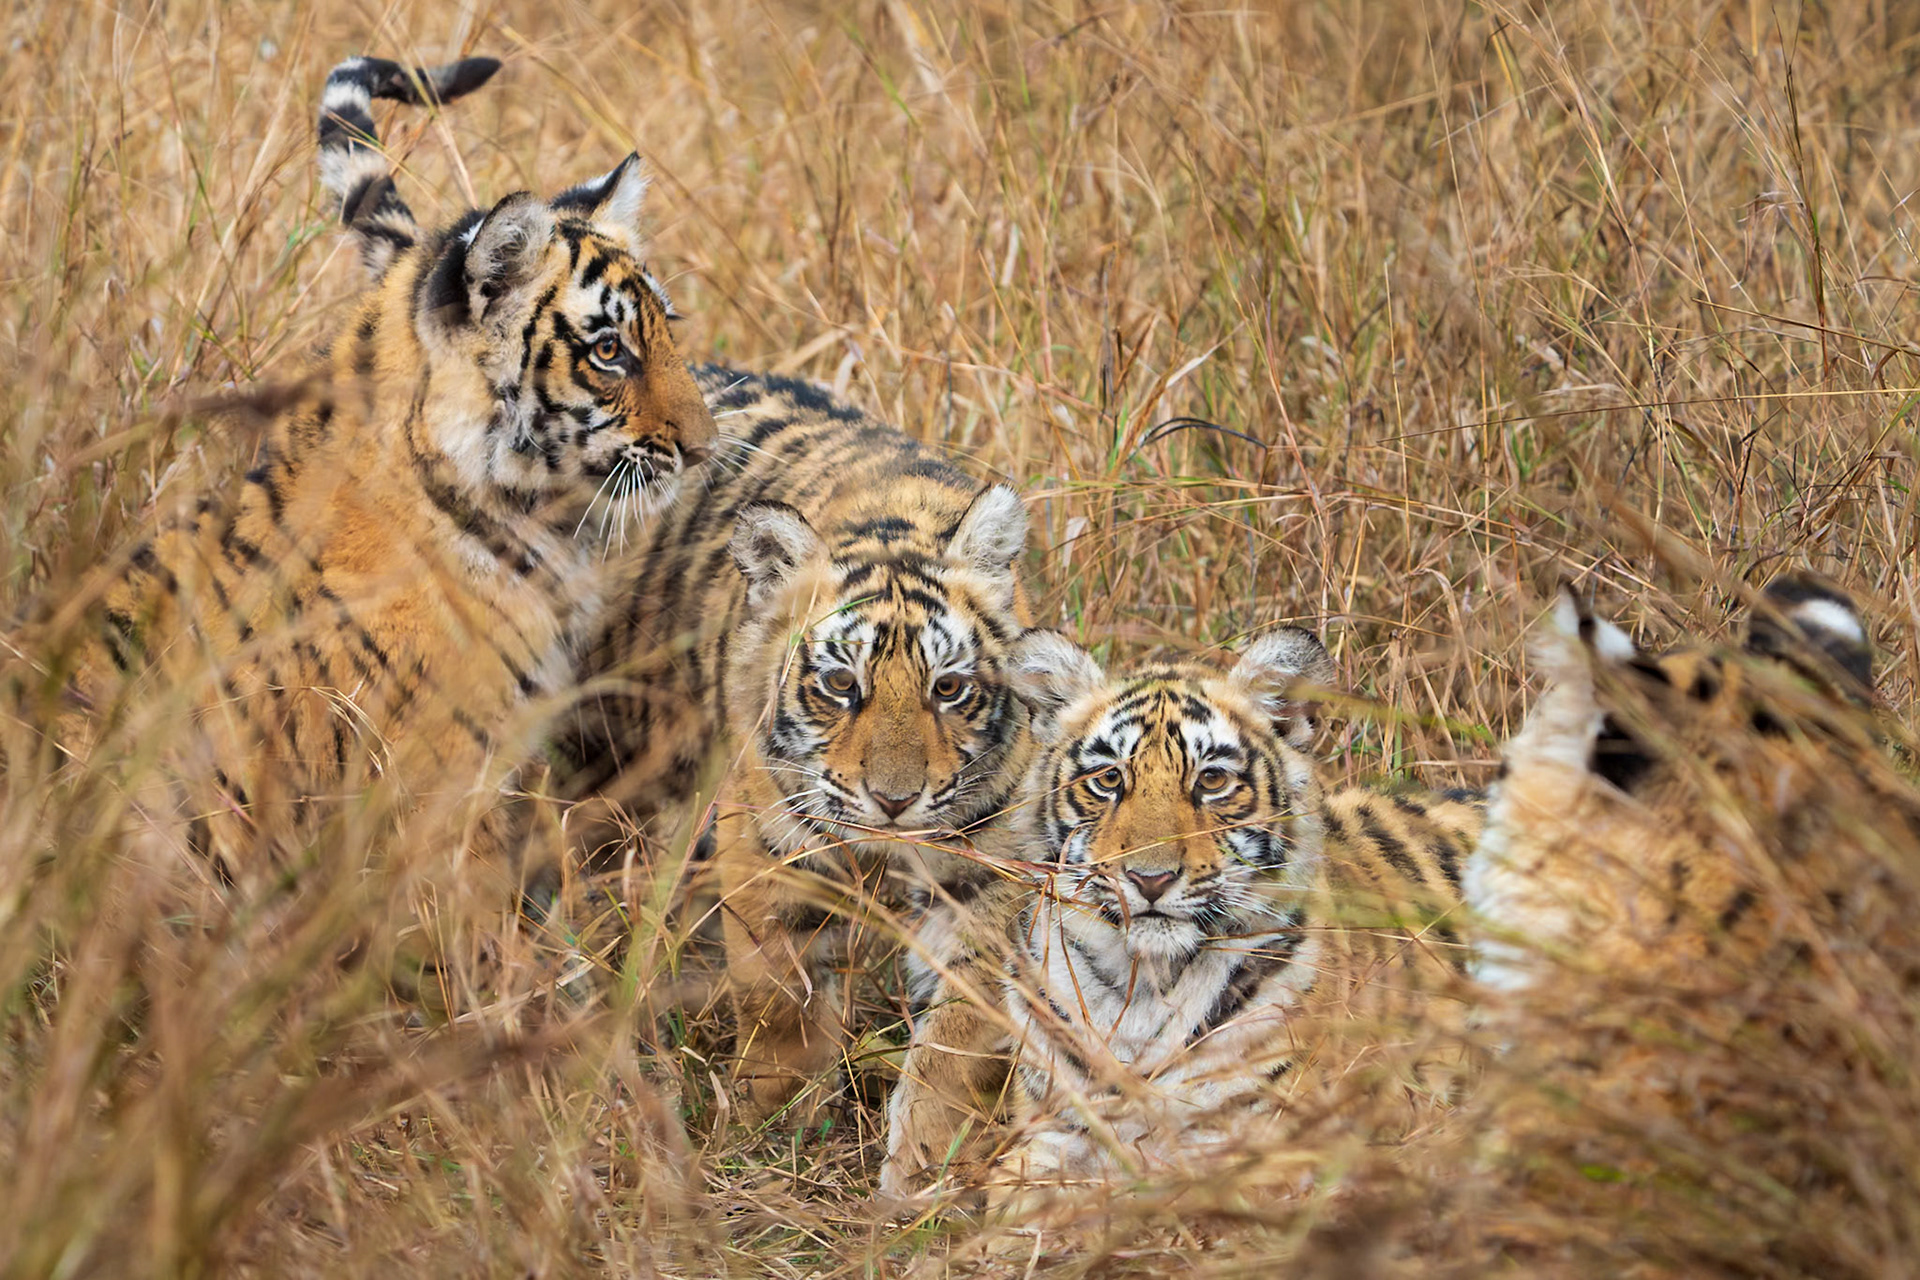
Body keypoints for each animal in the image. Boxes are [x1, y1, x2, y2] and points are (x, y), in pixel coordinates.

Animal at [560, 367, 1035, 1126]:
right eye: (841, 684)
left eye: (949, 688)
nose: (894, 802)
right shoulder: (768, 849)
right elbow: (781, 997)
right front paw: (773, 1120)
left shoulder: (995, 870)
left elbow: (962, 1033)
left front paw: (927, 1147)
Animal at [878, 626, 1481, 1202]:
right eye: (1109, 779)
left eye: (1211, 781)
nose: (1150, 879)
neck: (1143, 983)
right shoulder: (1050, 1138)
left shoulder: (1275, 1150)